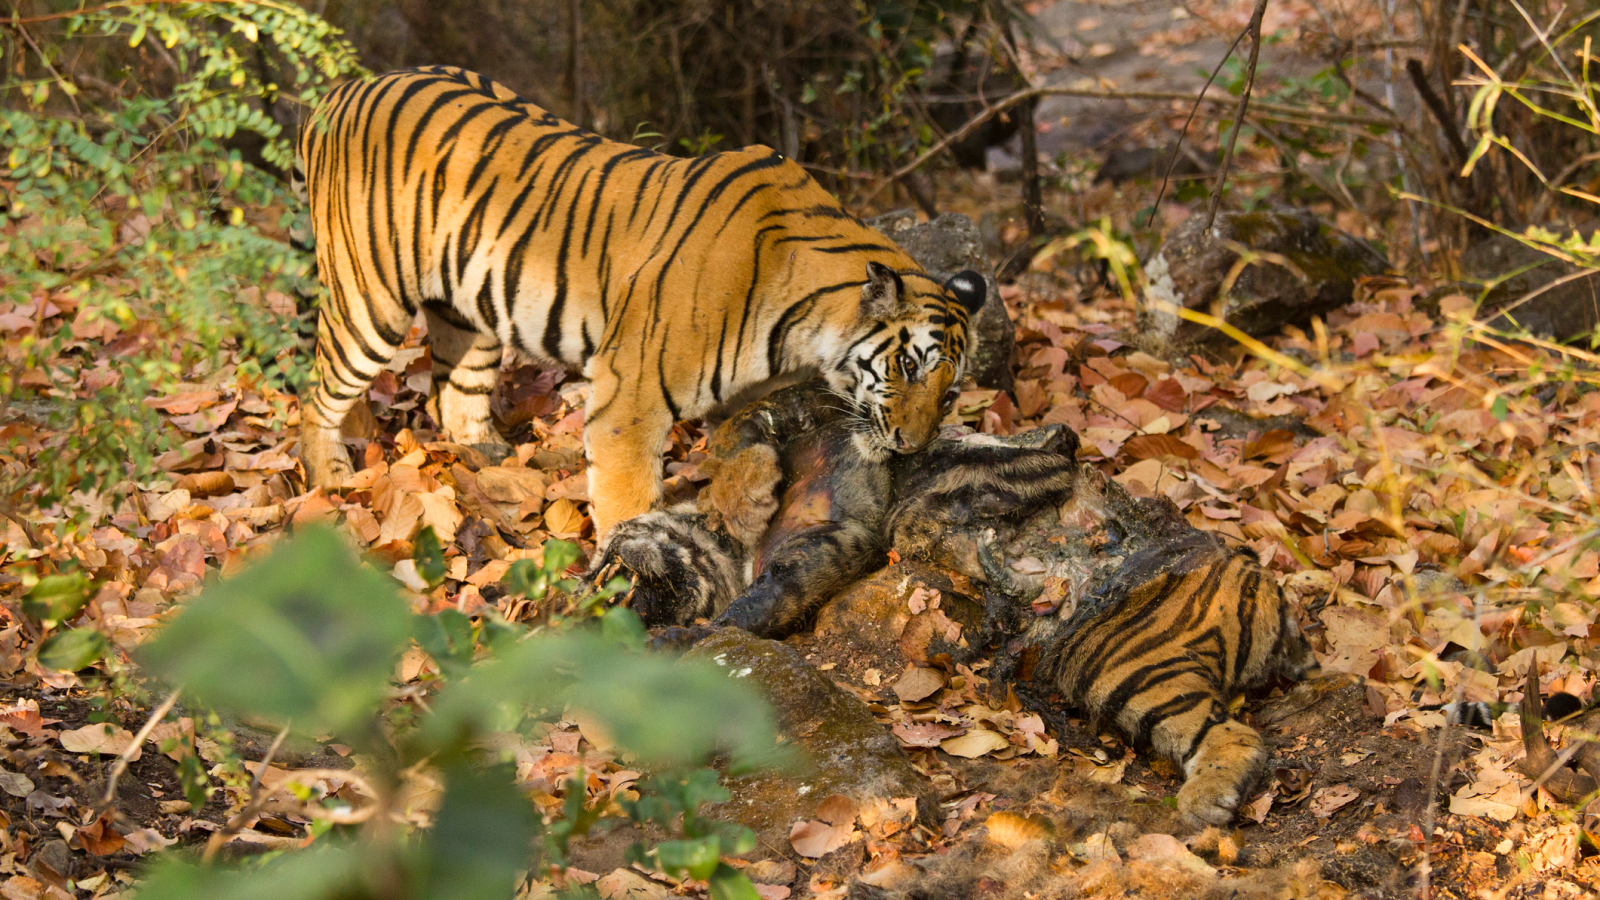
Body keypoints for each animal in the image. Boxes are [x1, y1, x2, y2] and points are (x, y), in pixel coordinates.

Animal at [294, 68, 979, 538]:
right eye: (908, 366)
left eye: (950, 394)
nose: (913, 447)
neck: (802, 329)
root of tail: (343, 90)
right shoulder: (630, 391)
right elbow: (627, 500)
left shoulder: (744, 393)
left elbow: (738, 441)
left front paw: (744, 496)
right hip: (368, 302)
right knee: (317, 395)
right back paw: (332, 482)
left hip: (469, 314)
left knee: (456, 396)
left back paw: (494, 461)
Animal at [588, 381, 1312, 826]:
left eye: (603, 575)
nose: (605, 614)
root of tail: (1262, 591)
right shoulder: (825, 551)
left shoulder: (828, 510)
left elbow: (743, 429)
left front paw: (747, 492)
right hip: (1115, 662)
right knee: (1230, 733)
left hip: (1130, 661)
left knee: (1240, 738)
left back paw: (1205, 804)